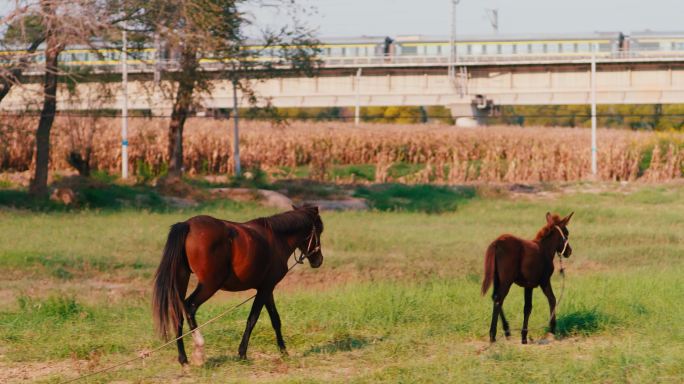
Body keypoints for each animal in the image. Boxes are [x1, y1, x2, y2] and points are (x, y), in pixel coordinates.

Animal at [154, 204, 324, 366]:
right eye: (319, 230)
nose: (318, 260)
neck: (277, 239)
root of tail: (187, 225)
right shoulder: (265, 289)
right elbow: (252, 319)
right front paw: (242, 353)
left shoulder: (267, 289)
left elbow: (275, 320)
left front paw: (284, 351)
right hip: (210, 285)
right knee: (190, 306)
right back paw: (199, 351)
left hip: (182, 279)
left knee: (178, 312)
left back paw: (183, 358)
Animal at [480, 212, 572, 344]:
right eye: (566, 233)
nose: (569, 251)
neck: (544, 248)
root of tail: (497, 243)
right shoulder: (544, 281)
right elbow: (551, 300)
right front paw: (551, 329)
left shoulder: (528, 285)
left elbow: (527, 307)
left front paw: (523, 337)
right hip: (506, 281)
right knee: (498, 300)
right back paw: (493, 335)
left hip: (497, 279)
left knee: (495, 297)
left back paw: (507, 331)